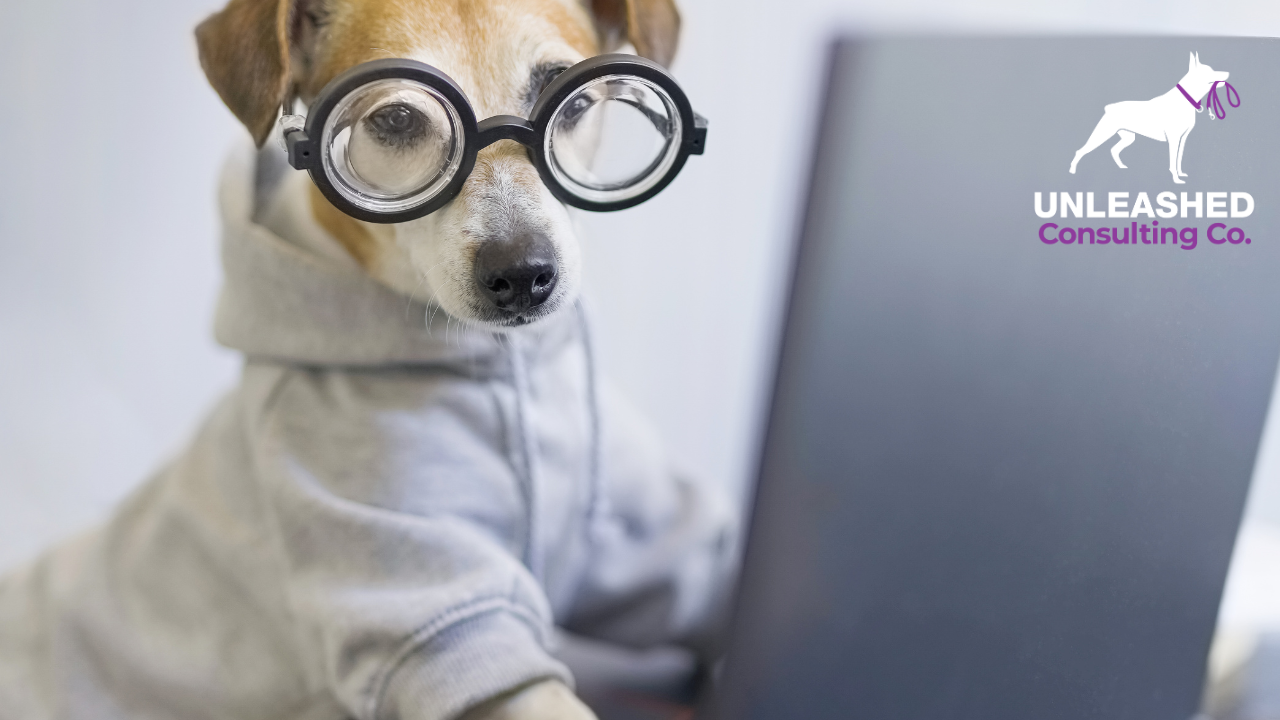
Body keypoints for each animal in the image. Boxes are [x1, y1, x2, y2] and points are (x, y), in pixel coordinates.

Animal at [0, 1, 737, 717]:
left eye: (574, 100)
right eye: (397, 117)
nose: (524, 273)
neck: (507, 370)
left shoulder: (657, 541)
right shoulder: (434, 616)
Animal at [1070, 51, 1228, 181]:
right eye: (1210, 71)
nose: (1227, 73)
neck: (1185, 99)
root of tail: (1109, 108)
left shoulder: (1183, 139)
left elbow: (1179, 160)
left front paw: (1180, 174)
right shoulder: (1174, 139)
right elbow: (1172, 162)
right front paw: (1176, 179)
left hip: (1128, 137)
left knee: (1113, 150)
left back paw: (1121, 167)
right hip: (1102, 134)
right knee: (1080, 151)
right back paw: (1072, 170)